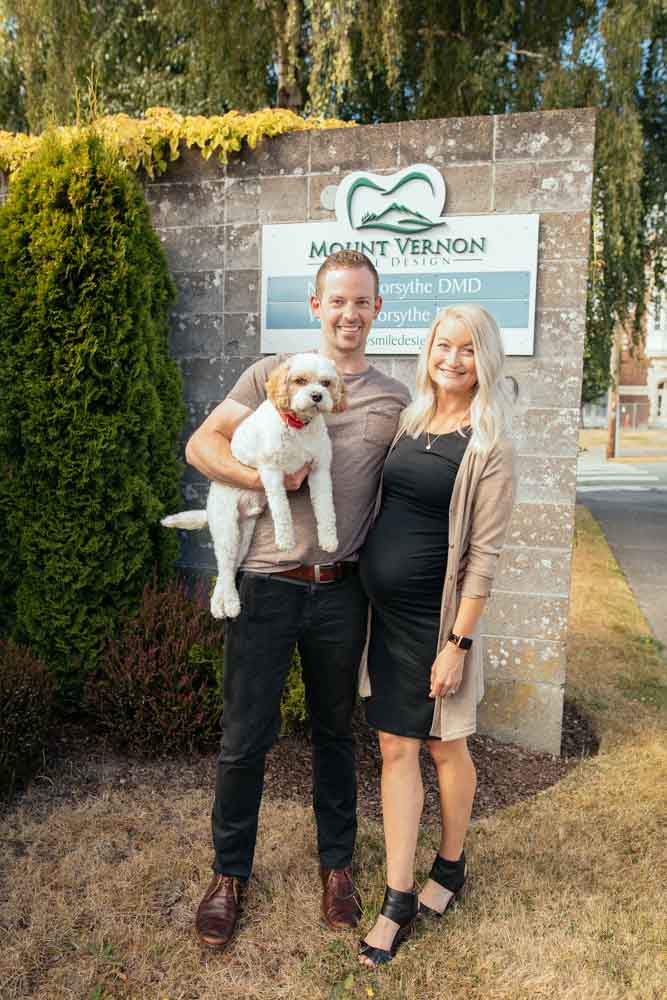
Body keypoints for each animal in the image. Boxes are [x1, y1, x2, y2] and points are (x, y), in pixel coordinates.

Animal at [162, 352, 348, 616]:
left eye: (326, 383)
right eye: (300, 380)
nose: (317, 396)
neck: (297, 427)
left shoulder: (320, 470)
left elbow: (325, 509)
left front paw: (329, 539)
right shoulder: (271, 472)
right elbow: (282, 511)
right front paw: (286, 540)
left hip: (244, 534)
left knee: (229, 569)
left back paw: (223, 601)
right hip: (227, 527)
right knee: (224, 566)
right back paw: (227, 604)